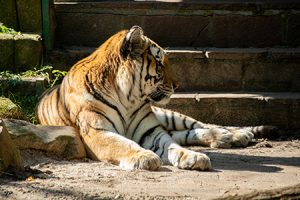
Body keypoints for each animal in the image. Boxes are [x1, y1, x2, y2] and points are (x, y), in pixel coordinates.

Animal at [37, 25, 276, 170]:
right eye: (160, 64)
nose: (178, 84)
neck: (127, 97)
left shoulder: (151, 130)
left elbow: (172, 146)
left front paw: (191, 157)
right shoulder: (97, 132)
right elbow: (123, 145)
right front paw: (144, 157)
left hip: (168, 115)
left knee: (200, 125)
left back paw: (235, 135)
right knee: (186, 133)